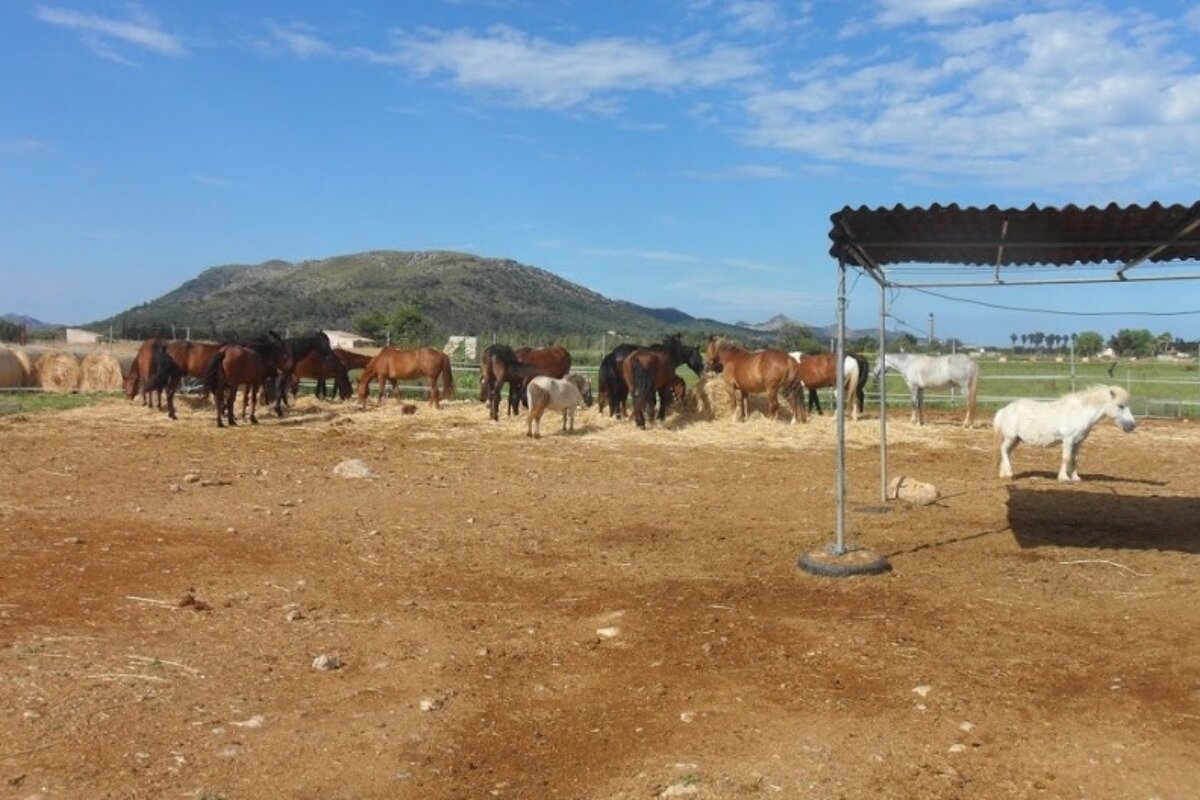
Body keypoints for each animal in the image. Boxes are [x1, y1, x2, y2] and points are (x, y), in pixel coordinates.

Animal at [993, 385, 1136, 482]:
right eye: (1120, 406)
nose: (1132, 426)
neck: (1080, 412)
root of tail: (1004, 409)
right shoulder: (1068, 439)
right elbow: (1066, 457)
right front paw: (1064, 478)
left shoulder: (1079, 441)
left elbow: (1075, 458)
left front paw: (1075, 477)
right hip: (1011, 437)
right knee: (1003, 450)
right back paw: (1009, 473)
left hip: (1016, 439)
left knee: (1007, 453)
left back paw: (1004, 473)